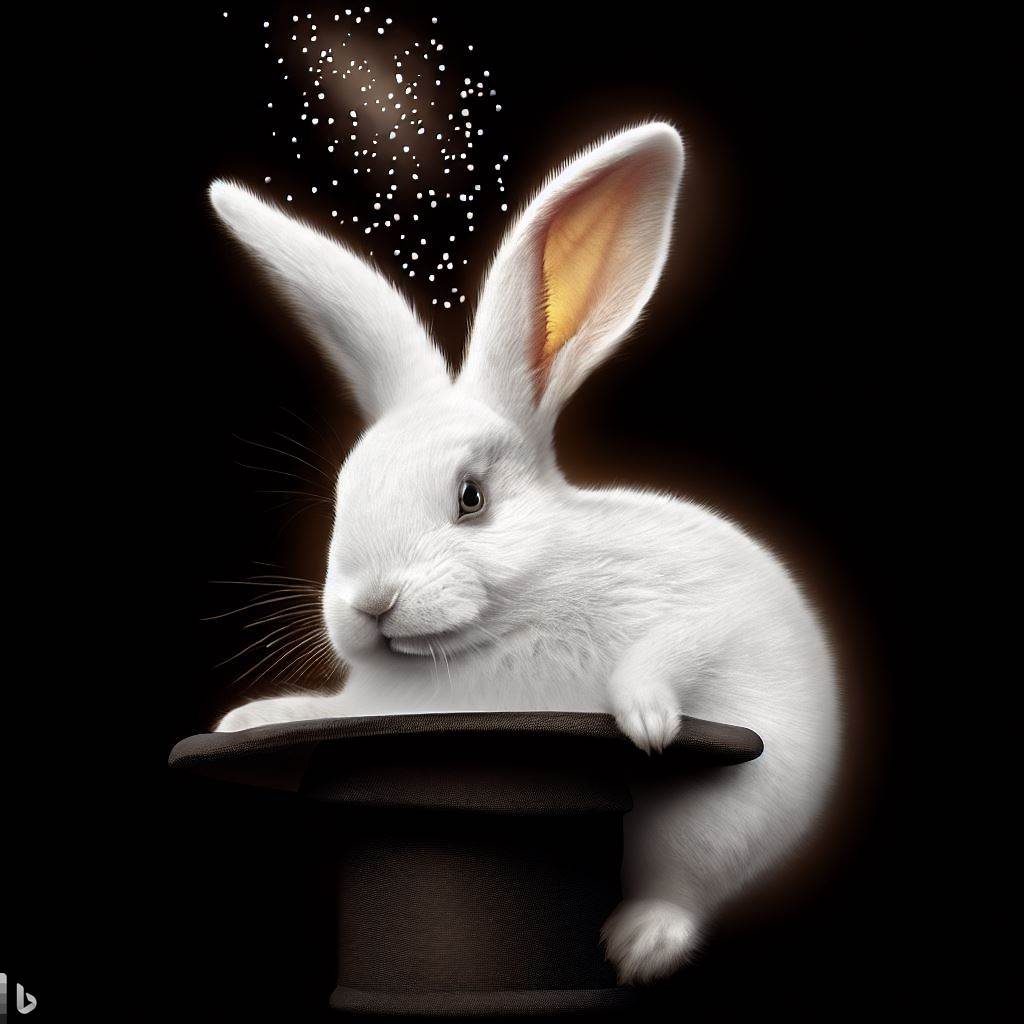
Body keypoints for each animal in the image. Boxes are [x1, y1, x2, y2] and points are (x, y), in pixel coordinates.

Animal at [208, 122, 841, 984]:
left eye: (471, 498)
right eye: (344, 497)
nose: (371, 605)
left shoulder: (703, 611)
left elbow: (676, 646)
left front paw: (645, 721)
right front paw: (251, 717)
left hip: (721, 825)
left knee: (679, 887)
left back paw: (635, 944)